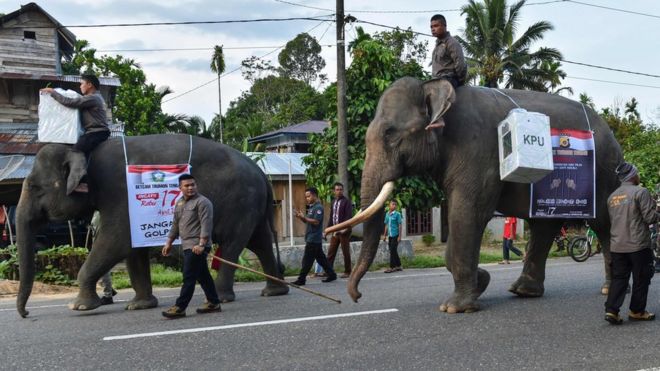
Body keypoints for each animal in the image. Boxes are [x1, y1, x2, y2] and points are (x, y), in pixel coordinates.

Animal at [15, 135, 288, 318]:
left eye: (34, 187)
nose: (26, 315)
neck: (82, 152)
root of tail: (260, 171)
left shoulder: (118, 193)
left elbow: (116, 241)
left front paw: (79, 306)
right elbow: (132, 250)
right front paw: (139, 305)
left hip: (241, 203)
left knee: (234, 244)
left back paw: (222, 297)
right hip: (251, 206)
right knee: (260, 242)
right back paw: (275, 291)